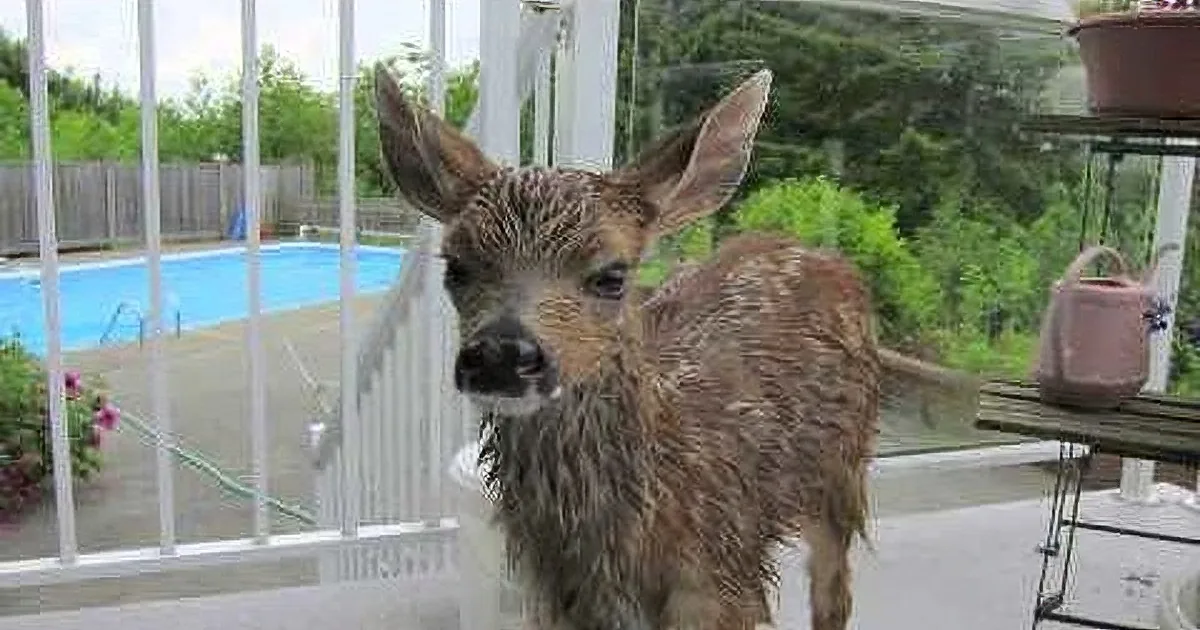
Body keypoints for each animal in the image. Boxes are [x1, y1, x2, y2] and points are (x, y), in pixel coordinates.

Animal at [374, 67, 971, 630]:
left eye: (612, 276)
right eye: (457, 267)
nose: (501, 352)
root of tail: (821, 254)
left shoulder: (720, 577)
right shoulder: (563, 594)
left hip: (842, 470)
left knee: (835, 589)